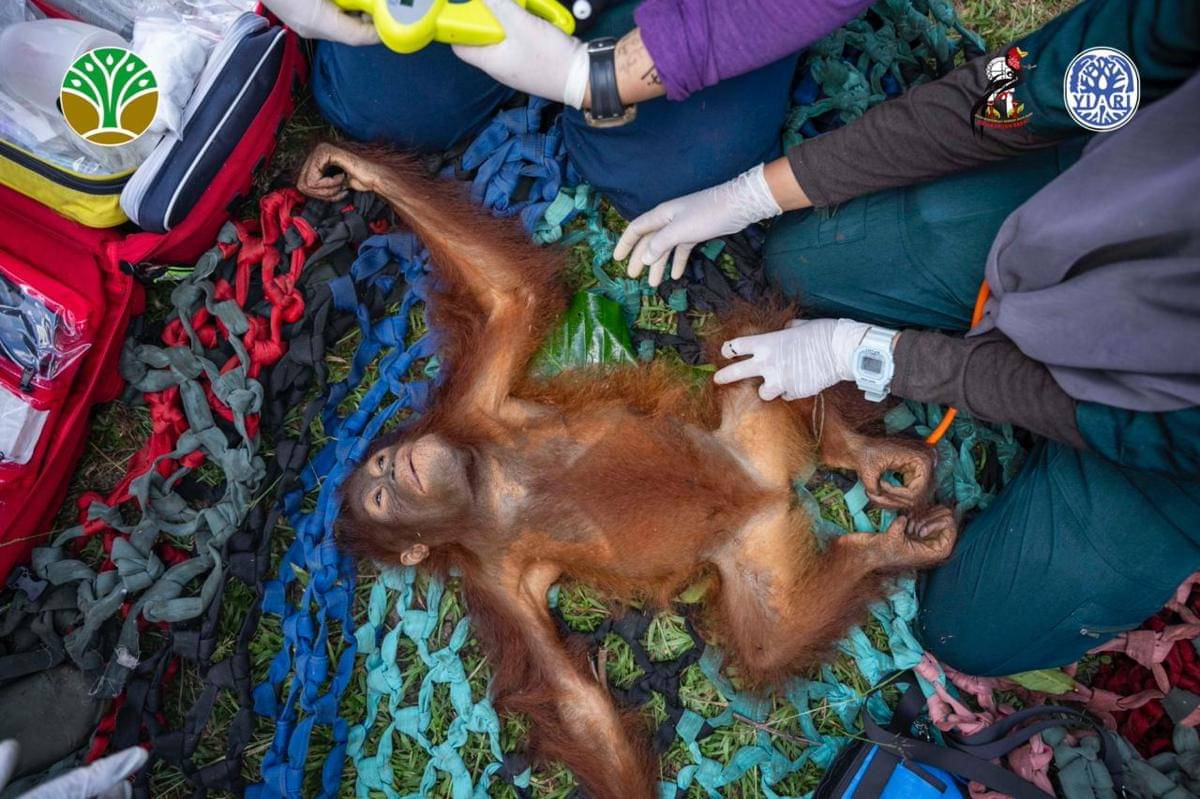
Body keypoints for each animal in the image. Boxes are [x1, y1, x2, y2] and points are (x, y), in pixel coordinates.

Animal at [297, 142, 958, 799]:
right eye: (379, 499)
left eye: (381, 470)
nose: (392, 475)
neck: (487, 491)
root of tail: (769, 490)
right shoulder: (495, 580)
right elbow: (579, 704)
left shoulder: (474, 410)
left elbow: (508, 293)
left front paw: (350, 170)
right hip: (759, 544)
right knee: (772, 641)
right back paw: (887, 547)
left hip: (755, 415)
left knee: (755, 345)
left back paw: (866, 455)